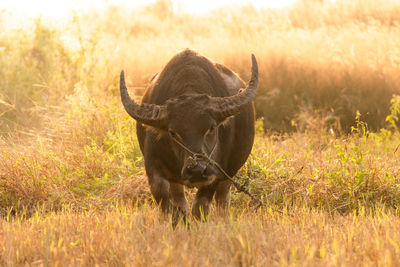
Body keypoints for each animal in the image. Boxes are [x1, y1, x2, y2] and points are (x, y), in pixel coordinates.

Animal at [119, 48, 258, 224]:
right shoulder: (152, 163)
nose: (197, 170)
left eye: (211, 128)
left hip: (229, 173)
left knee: (222, 198)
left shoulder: (216, 170)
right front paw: (177, 220)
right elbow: (163, 194)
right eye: (172, 132)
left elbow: (200, 205)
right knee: (179, 196)